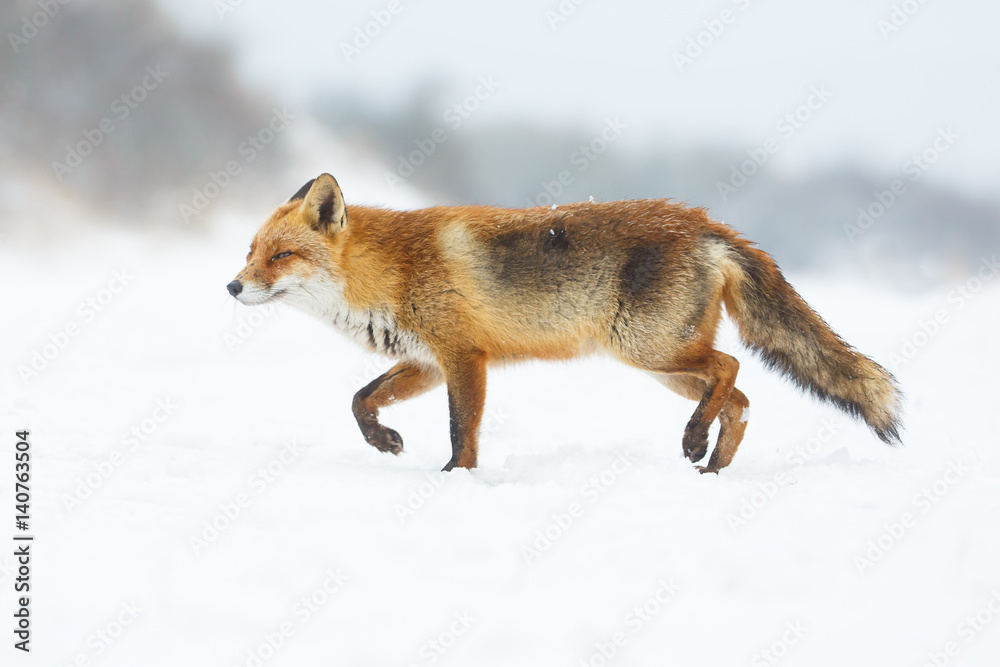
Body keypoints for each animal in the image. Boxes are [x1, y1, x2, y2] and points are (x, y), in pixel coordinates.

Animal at [227, 173, 902, 473]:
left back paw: (694, 441)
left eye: (281, 256)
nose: (232, 286)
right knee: (738, 398)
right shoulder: (425, 359)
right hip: (665, 366)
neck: (389, 271)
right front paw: (383, 442)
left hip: (650, 351)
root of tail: (706, 224)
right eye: (250, 251)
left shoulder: (464, 358)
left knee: (731, 368)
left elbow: (462, 435)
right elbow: (360, 401)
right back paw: (711, 466)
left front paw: (454, 482)